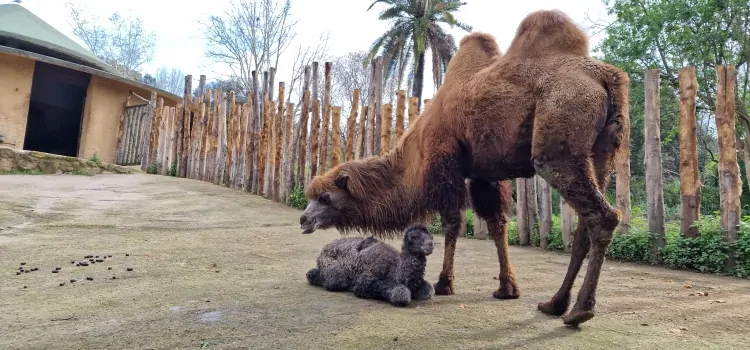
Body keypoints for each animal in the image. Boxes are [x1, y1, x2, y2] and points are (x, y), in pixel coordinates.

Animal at [306, 224, 434, 306]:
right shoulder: (365, 281)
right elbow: (400, 294)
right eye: (413, 237)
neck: (397, 270)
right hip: (330, 263)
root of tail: (325, 248)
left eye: (430, 235)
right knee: (335, 281)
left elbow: (429, 289)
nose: (430, 244)